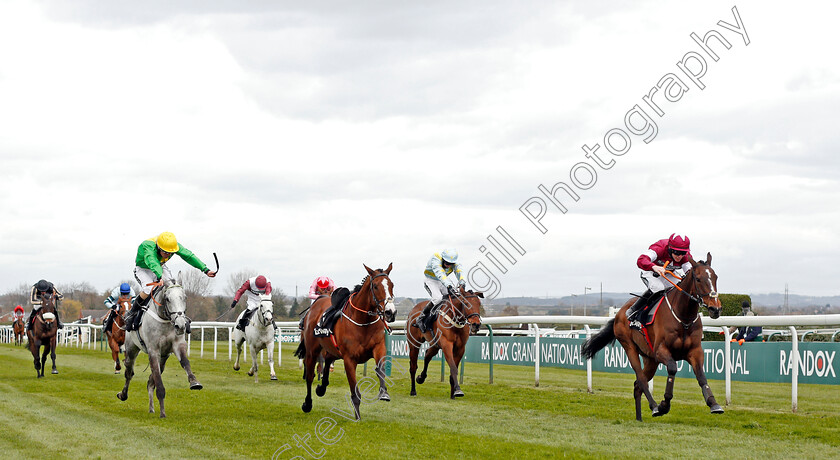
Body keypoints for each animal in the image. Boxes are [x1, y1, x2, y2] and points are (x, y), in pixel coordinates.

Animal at [116, 274, 202, 418]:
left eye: (184, 297)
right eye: (167, 299)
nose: (180, 325)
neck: (165, 319)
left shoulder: (177, 345)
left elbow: (185, 362)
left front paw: (194, 382)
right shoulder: (153, 351)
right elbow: (159, 382)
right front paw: (163, 413)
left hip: (163, 357)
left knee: (150, 382)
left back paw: (151, 408)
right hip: (132, 349)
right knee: (129, 372)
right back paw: (123, 394)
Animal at [296, 262, 398, 420]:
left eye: (391, 285)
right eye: (375, 286)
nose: (390, 312)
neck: (363, 321)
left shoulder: (378, 347)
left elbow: (380, 370)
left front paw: (384, 393)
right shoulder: (349, 359)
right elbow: (355, 391)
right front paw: (358, 418)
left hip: (333, 350)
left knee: (327, 362)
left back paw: (321, 388)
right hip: (312, 350)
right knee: (310, 376)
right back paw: (307, 404)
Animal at [580, 253, 724, 422]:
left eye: (715, 277)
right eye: (699, 279)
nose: (715, 309)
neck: (684, 319)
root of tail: (620, 313)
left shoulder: (695, 351)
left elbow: (701, 376)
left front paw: (714, 404)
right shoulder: (661, 351)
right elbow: (672, 369)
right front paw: (664, 405)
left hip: (650, 359)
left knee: (637, 385)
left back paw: (639, 418)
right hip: (630, 347)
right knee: (641, 380)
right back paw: (654, 407)